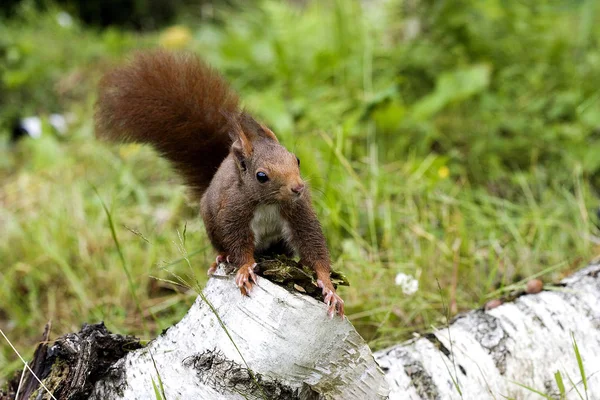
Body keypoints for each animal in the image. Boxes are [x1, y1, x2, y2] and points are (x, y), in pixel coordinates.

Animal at [95, 50, 344, 318]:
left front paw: (328, 287)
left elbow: (313, 245)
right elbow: (238, 242)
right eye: (261, 176)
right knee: (223, 244)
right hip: (211, 223)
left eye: (296, 159)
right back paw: (221, 257)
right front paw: (245, 269)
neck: (267, 203)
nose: (298, 188)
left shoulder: (297, 211)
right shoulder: (233, 210)